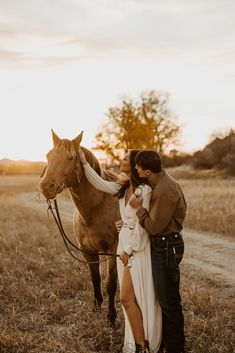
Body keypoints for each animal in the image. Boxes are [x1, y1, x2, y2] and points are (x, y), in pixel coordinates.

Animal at [40, 129, 119, 324]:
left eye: (70, 158)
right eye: (48, 155)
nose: (46, 187)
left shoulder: (112, 249)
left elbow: (111, 283)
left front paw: (111, 317)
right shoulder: (87, 250)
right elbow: (95, 278)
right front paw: (96, 306)